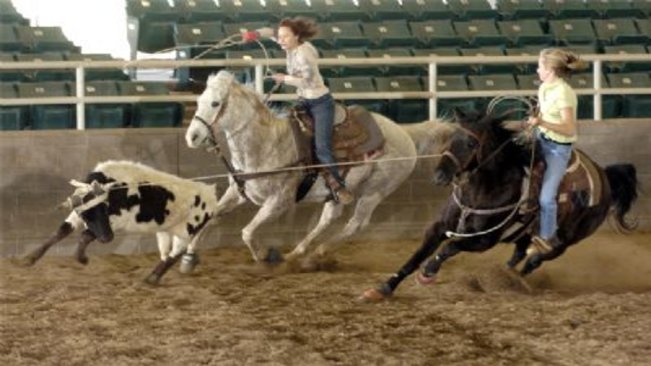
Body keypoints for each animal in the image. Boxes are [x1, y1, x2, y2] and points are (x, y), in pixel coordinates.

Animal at [24, 159, 218, 284]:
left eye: (104, 208)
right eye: (86, 216)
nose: (107, 238)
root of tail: (209, 192)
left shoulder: (118, 220)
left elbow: (86, 235)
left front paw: (82, 258)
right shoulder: (78, 214)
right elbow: (61, 231)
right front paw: (31, 258)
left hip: (188, 230)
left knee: (176, 253)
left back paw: (153, 278)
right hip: (168, 230)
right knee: (168, 253)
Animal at [364, 106, 640, 300]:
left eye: (471, 143)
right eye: (451, 138)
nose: (440, 176)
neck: (482, 189)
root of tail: (604, 175)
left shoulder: (484, 240)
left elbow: (450, 247)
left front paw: (428, 272)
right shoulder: (439, 226)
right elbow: (416, 256)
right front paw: (383, 288)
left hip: (567, 239)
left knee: (538, 257)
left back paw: (517, 280)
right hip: (525, 234)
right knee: (519, 253)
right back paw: (506, 274)